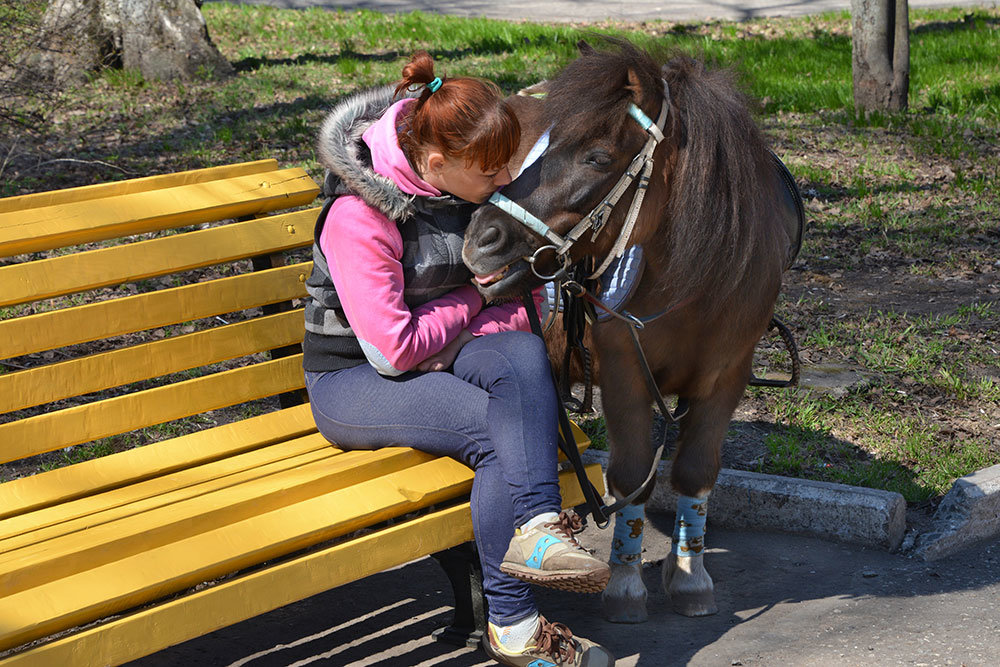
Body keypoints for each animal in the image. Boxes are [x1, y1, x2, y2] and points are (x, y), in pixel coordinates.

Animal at [464, 40, 800, 628]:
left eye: (597, 157)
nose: (480, 237)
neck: (696, 281)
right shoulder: (623, 373)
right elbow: (631, 473)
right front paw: (625, 584)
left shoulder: (726, 377)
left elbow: (694, 471)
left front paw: (689, 574)